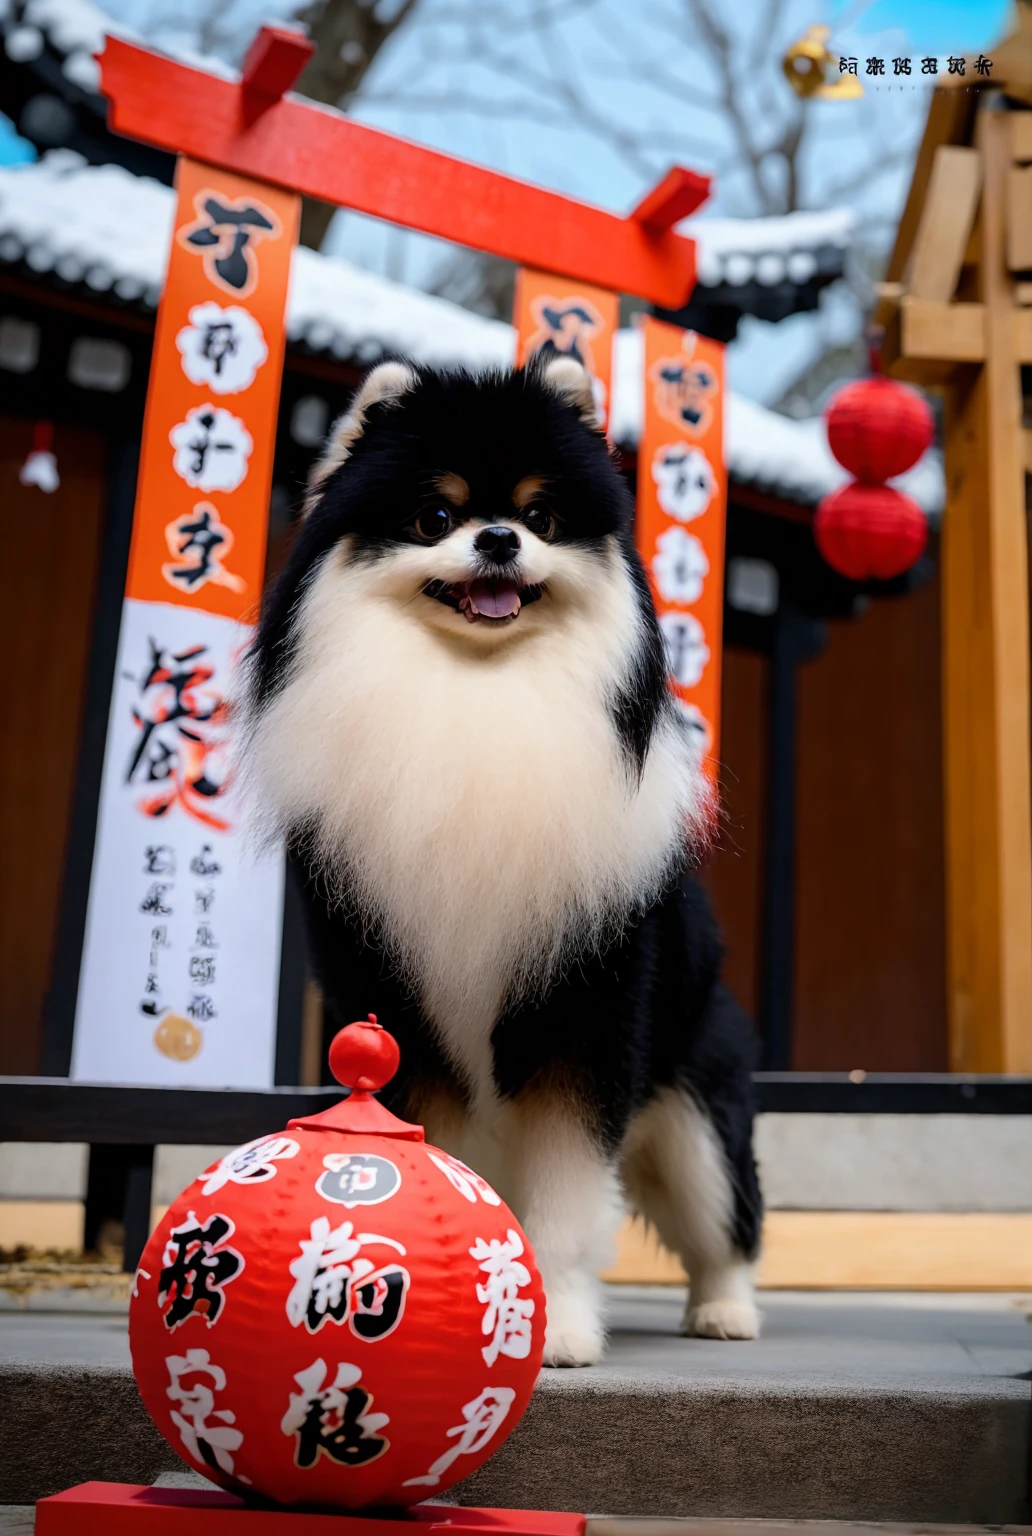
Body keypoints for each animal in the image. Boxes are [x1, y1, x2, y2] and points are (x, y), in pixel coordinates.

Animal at [245, 353, 761, 1363]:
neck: (476, 693)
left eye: (543, 517)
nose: (495, 538)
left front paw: (554, 1323)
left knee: (723, 1221)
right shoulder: (395, 1001)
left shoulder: (583, 1017)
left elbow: (566, 1199)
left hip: (693, 1118)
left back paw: (725, 1311)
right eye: (433, 516)